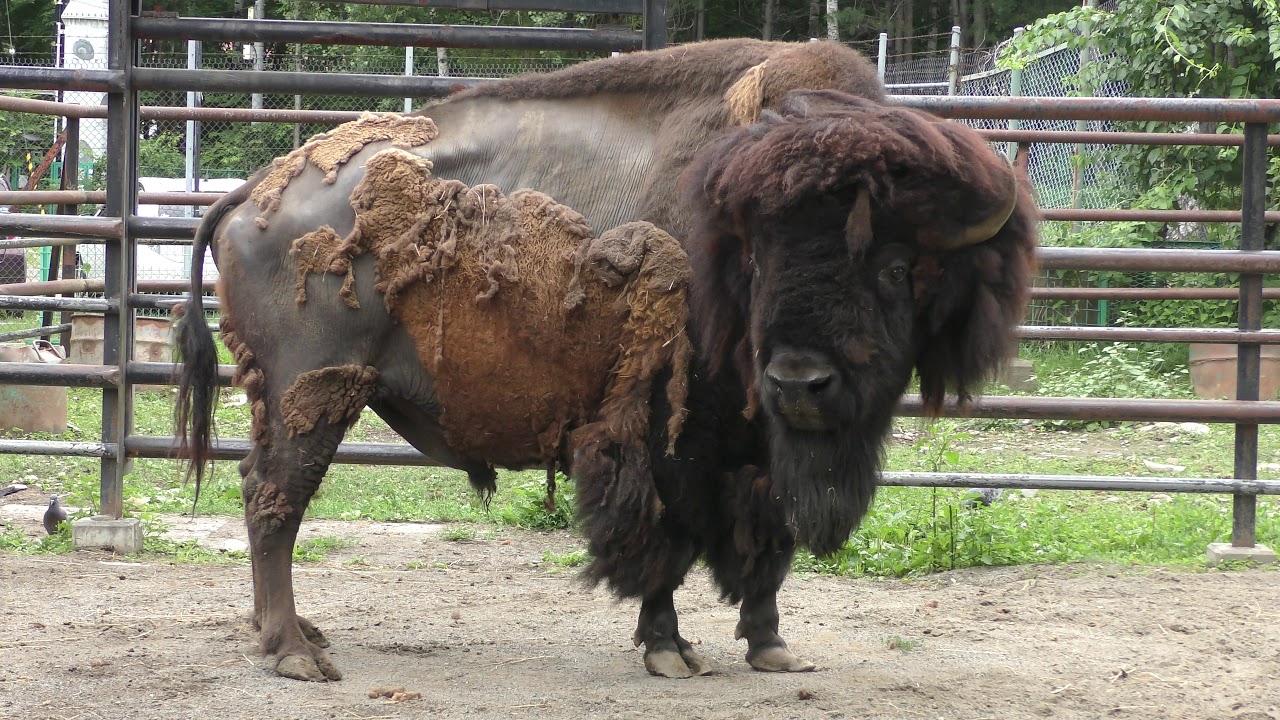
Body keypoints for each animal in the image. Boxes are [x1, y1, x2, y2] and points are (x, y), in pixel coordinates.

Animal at [175, 39, 1036, 682]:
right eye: (757, 259)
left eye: (893, 266)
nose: (799, 381)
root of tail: (253, 191)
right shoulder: (664, 435)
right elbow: (666, 538)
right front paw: (669, 651)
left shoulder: (758, 449)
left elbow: (768, 542)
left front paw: (772, 649)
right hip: (315, 394)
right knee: (275, 501)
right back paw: (294, 653)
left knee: (263, 492)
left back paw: (295, 634)